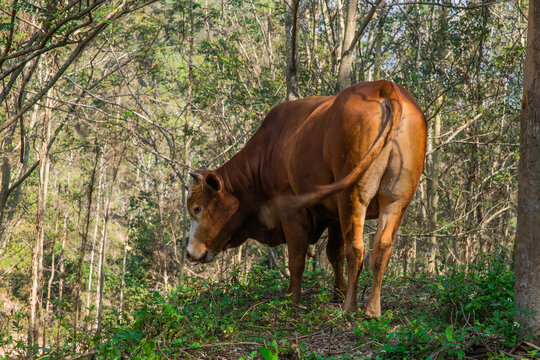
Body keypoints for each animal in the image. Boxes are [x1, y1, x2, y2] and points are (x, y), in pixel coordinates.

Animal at [186, 80, 426, 316]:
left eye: (197, 209)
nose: (189, 253)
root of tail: (385, 87)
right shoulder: (334, 215)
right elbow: (334, 253)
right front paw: (337, 293)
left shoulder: (293, 211)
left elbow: (297, 259)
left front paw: (293, 301)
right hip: (395, 200)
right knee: (382, 247)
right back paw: (373, 309)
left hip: (353, 195)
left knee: (356, 248)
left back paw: (350, 308)